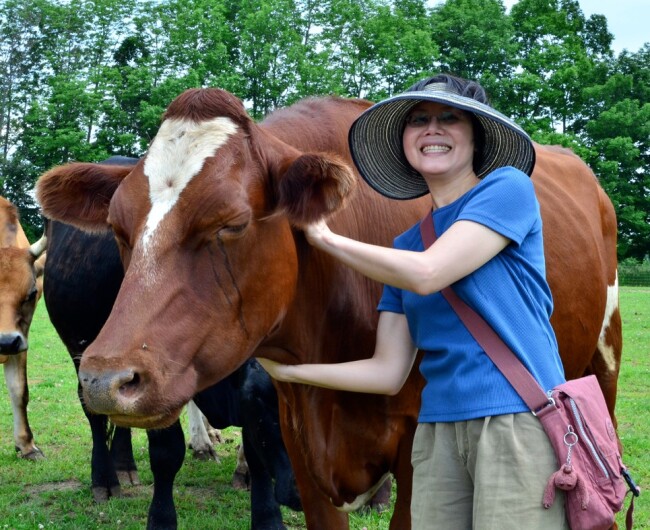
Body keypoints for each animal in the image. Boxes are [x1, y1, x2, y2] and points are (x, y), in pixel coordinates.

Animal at [41, 155, 300, 524]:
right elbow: (166, 452)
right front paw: (161, 516)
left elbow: (256, 455)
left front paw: (267, 516)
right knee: (94, 414)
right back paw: (105, 479)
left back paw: (124, 465)